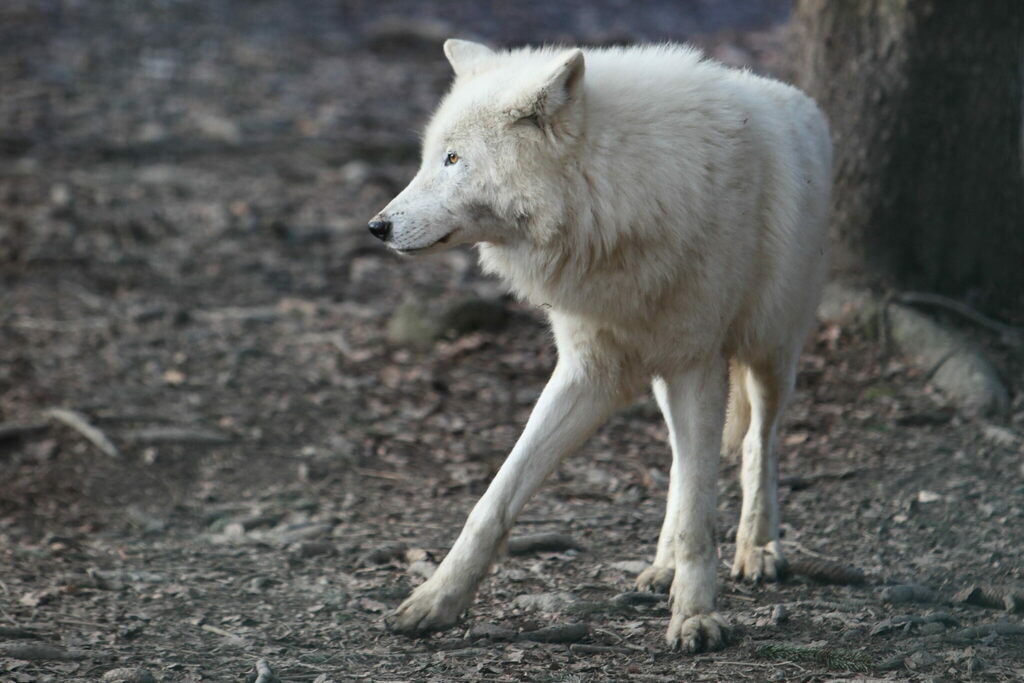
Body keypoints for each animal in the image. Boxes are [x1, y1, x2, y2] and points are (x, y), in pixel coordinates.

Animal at [368, 39, 831, 652]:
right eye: (429, 158)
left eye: (452, 159)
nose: (377, 226)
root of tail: (801, 99)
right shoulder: (589, 373)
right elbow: (494, 500)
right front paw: (435, 601)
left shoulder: (697, 364)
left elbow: (701, 512)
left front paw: (696, 617)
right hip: (667, 379)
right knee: (682, 459)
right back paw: (662, 567)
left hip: (770, 353)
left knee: (760, 442)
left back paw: (757, 549)